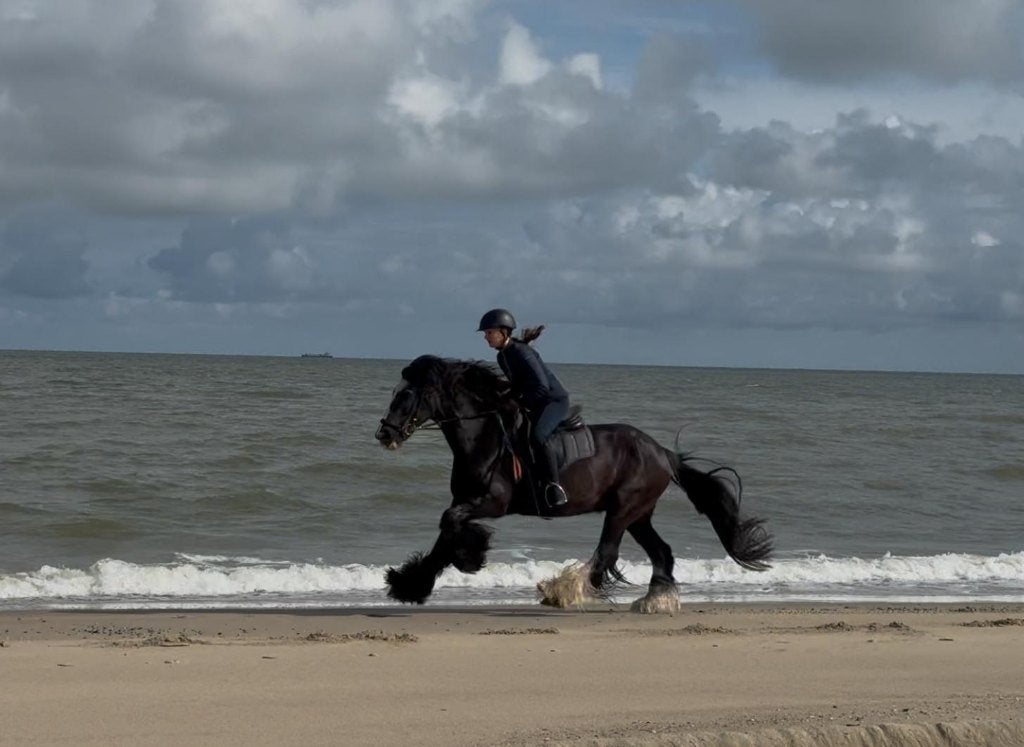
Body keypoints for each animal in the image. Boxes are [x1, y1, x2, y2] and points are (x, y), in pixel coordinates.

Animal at [374, 354, 772, 612]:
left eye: (405, 395)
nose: (384, 434)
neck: (484, 435)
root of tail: (662, 452)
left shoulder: (492, 503)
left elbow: (450, 524)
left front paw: (470, 556)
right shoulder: (466, 500)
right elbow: (444, 535)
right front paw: (409, 584)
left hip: (624, 508)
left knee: (608, 551)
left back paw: (562, 592)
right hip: (639, 514)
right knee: (661, 551)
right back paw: (654, 600)